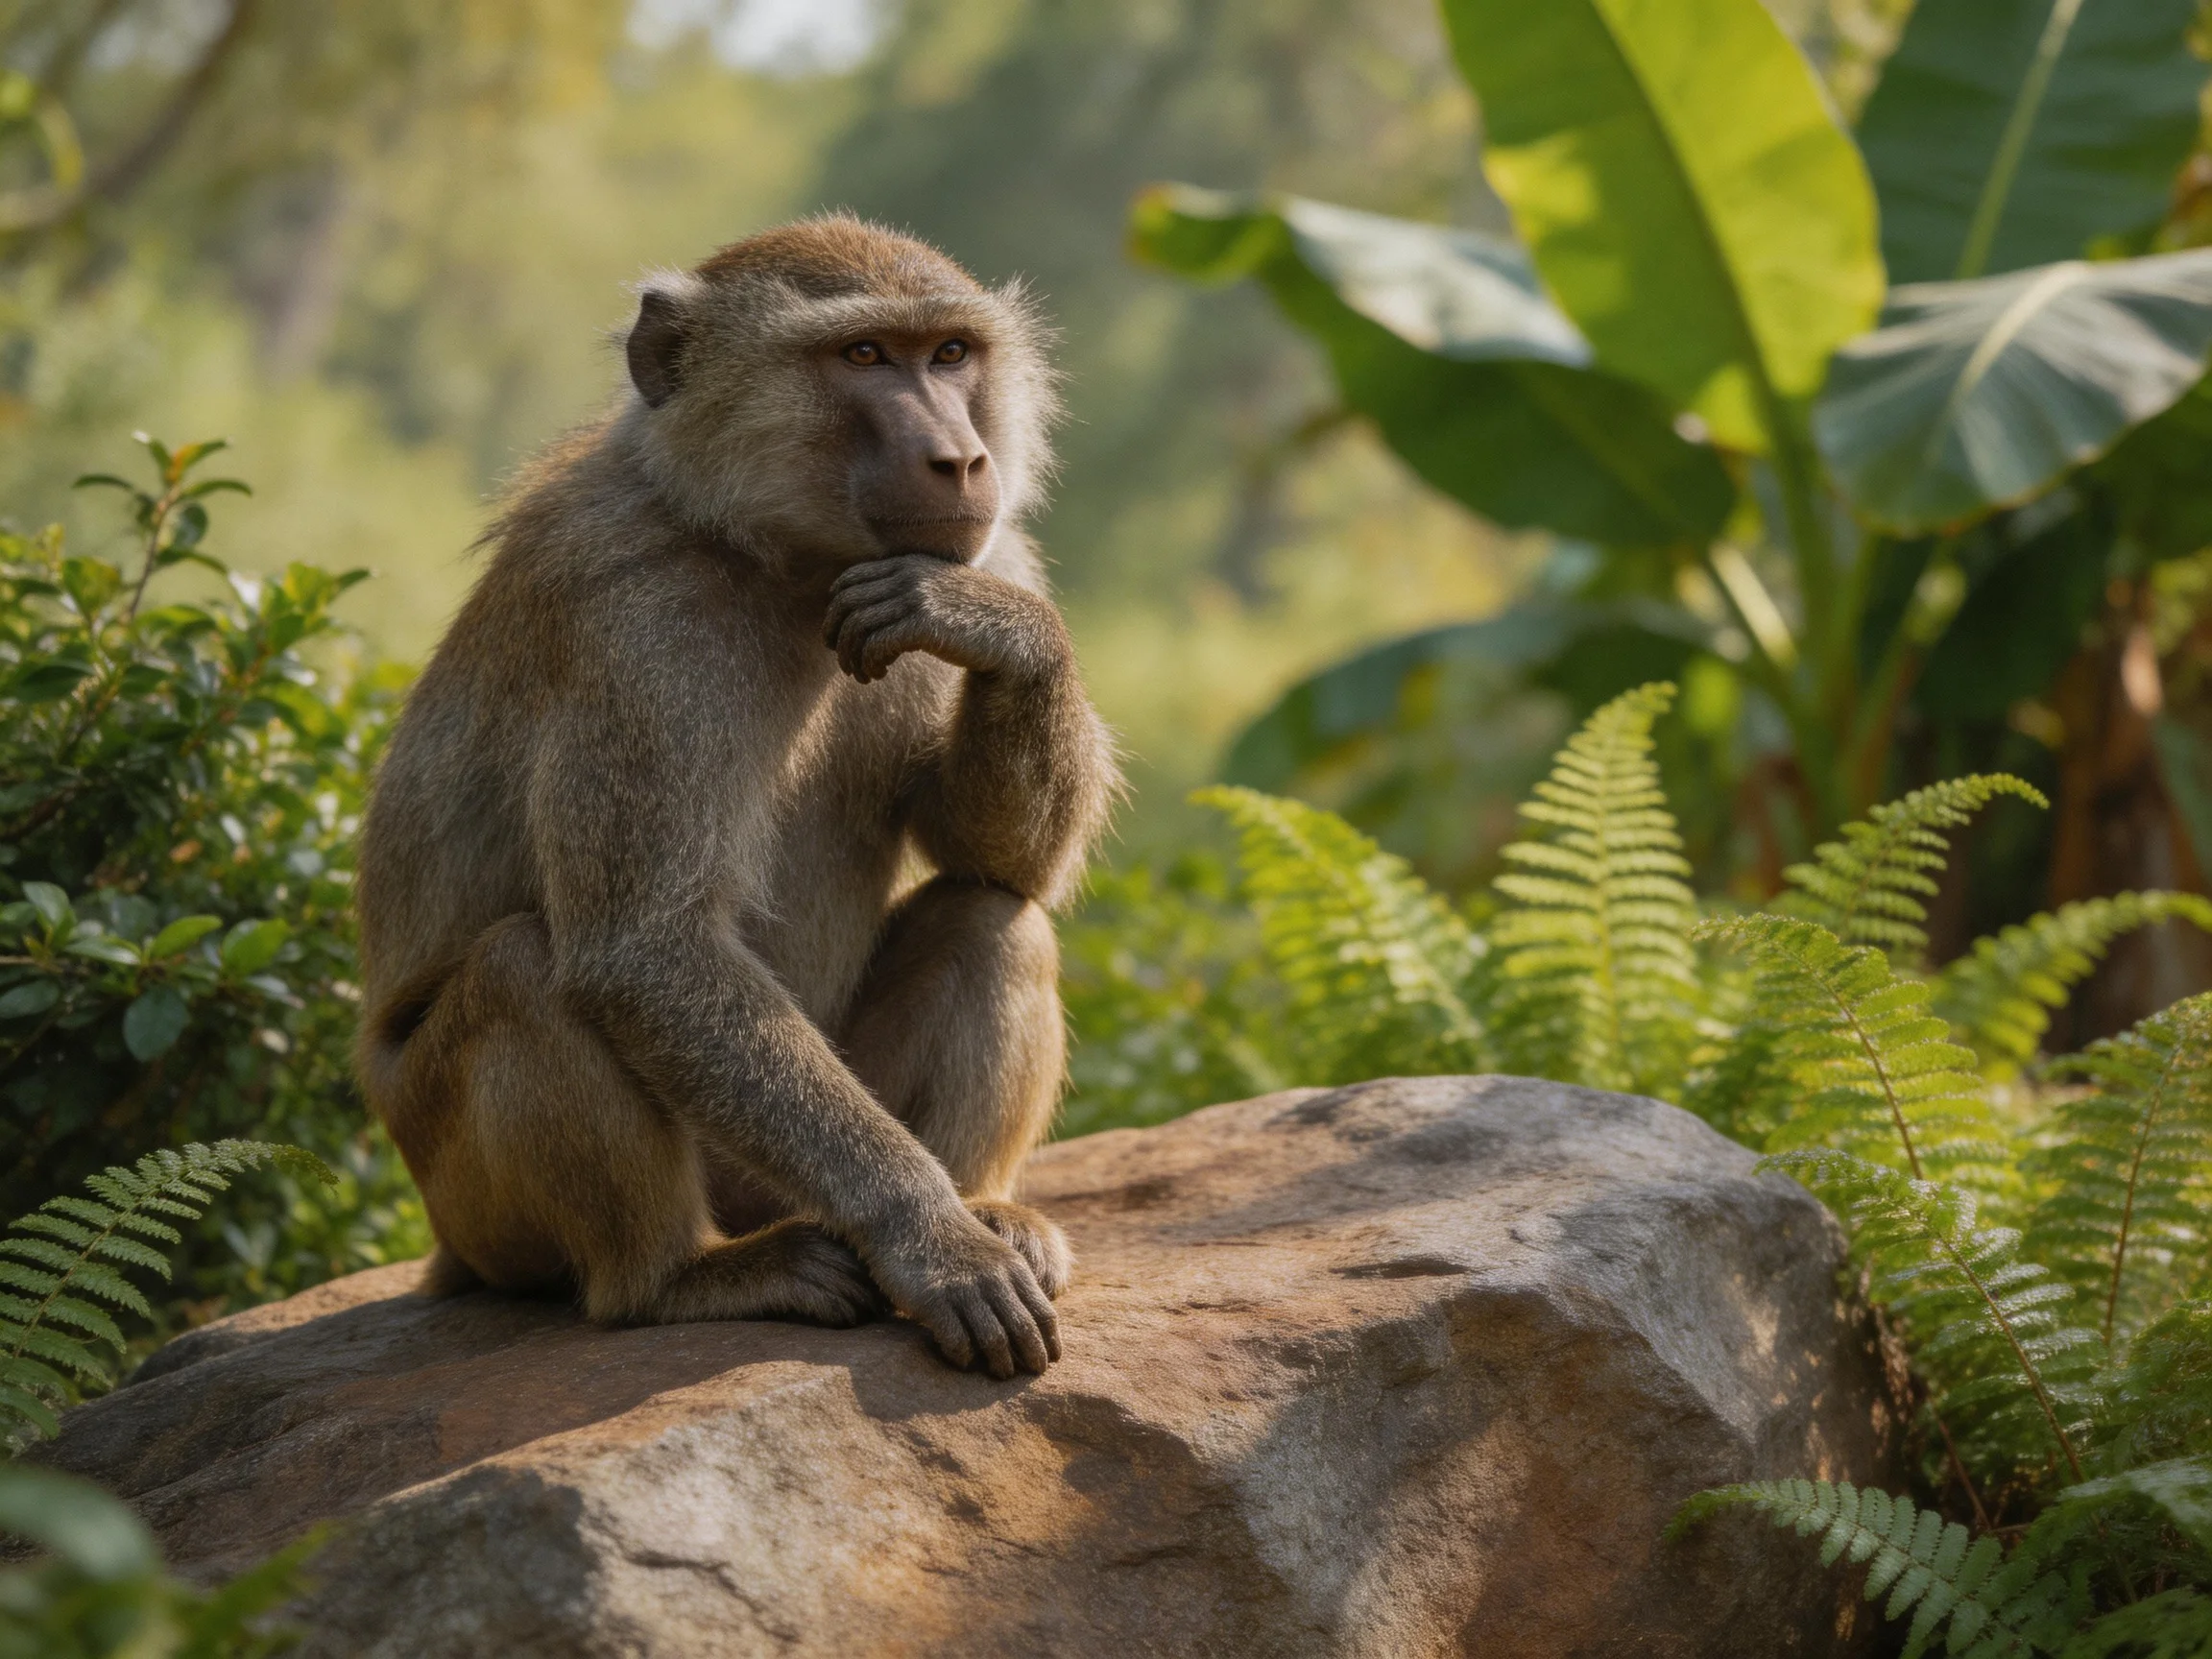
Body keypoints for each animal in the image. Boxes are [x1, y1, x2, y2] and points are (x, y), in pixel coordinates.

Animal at [353, 215, 1118, 1380]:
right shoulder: (639, 627)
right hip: (473, 1201)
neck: (774, 556)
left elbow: (994, 859)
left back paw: (988, 1206)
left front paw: (1005, 634)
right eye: (863, 356)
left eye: (949, 354)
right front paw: (932, 1243)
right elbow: (648, 950)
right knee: (528, 969)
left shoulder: (990, 550)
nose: (960, 460)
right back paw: (679, 1279)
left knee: (992, 919)